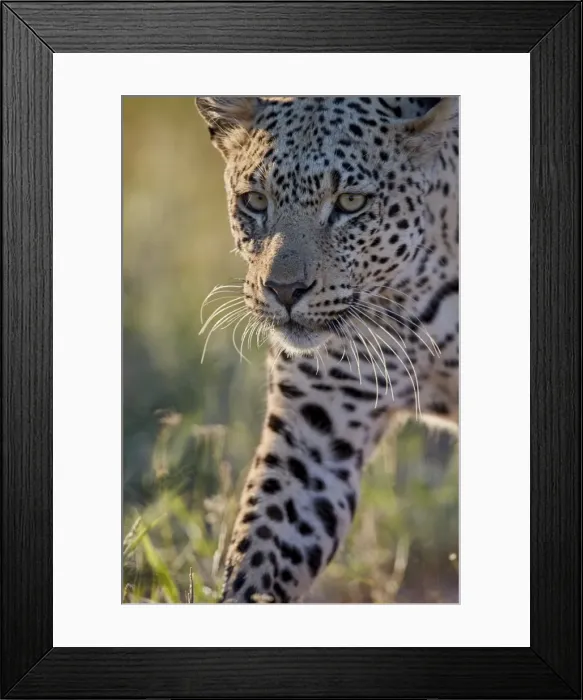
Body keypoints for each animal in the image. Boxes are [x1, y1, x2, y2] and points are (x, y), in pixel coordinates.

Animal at [196, 95, 459, 603]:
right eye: (255, 201)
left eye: (351, 203)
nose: (284, 290)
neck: (409, 299)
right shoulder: (313, 438)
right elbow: (261, 553)